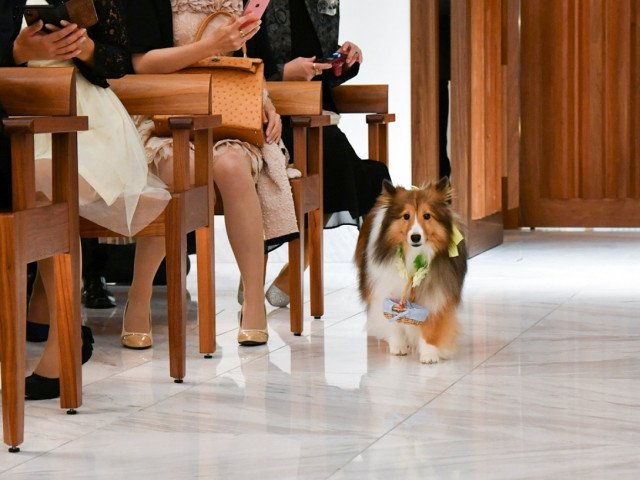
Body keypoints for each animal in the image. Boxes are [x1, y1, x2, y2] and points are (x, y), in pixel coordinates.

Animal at [352, 179, 468, 364]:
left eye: (427, 216)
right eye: (406, 216)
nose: (415, 237)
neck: (414, 254)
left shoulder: (438, 293)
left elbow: (432, 325)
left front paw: (429, 353)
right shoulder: (385, 286)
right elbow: (392, 319)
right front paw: (398, 346)